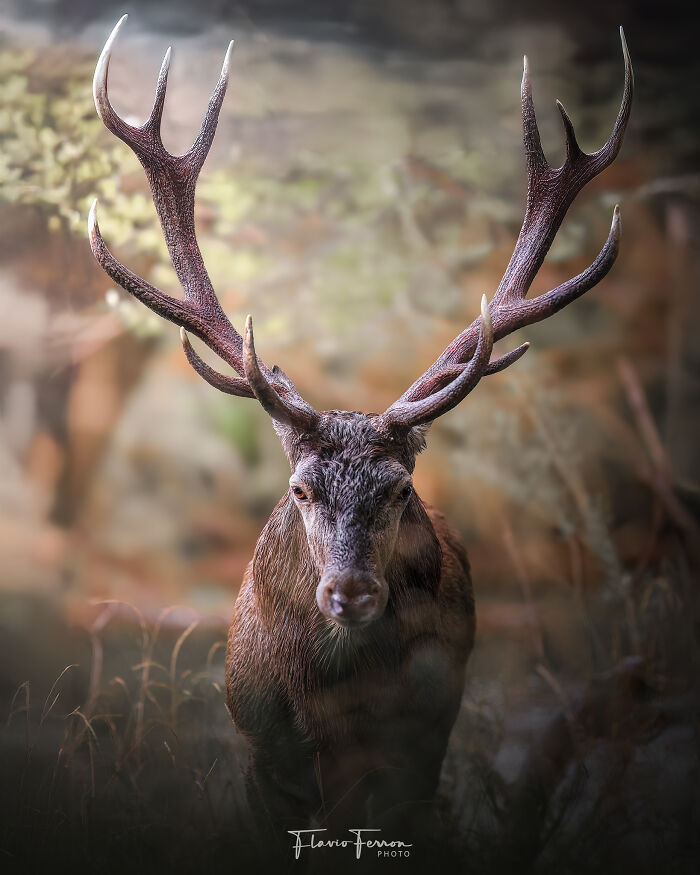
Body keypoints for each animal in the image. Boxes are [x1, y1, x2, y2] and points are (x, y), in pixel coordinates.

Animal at [88, 14, 632, 859]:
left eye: (401, 488)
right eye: (300, 487)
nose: (351, 591)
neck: (333, 706)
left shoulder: (420, 736)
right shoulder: (259, 746)